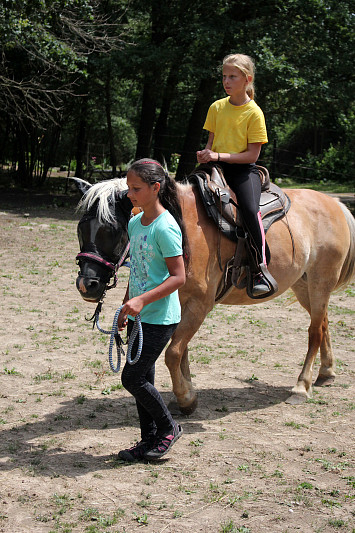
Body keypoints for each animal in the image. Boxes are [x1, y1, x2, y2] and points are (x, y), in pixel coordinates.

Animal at [75, 177, 355, 414]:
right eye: (80, 228)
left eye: (112, 230)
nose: (87, 285)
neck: (184, 228)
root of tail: (335, 204)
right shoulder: (179, 303)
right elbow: (182, 351)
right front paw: (186, 393)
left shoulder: (200, 304)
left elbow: (174, 352)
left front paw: (186, 399)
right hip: (303, 284)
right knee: (323, 322)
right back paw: (326, 372)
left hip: (320, 282)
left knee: (315, 331)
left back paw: (301, 386)